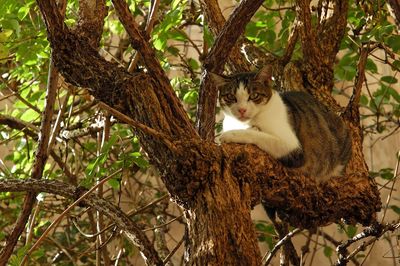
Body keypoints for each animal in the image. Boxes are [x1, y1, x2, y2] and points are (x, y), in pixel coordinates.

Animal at [211, 66, 352, 183]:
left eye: (254, 95)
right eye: (230, 97)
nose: (242, 110)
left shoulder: (293, 148)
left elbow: (259, 135)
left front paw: (230, 134)